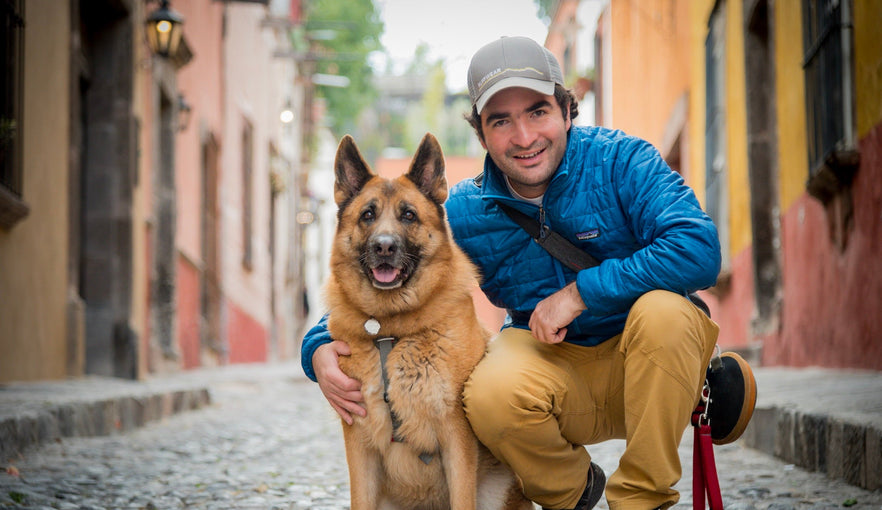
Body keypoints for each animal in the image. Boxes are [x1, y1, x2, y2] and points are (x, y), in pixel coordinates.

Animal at [324, 133, 524, 508]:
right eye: (368, 214)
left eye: (409, 215)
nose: (384, 247)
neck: (389, 330)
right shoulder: (359, 447)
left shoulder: (455, 439)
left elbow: (462, 499)